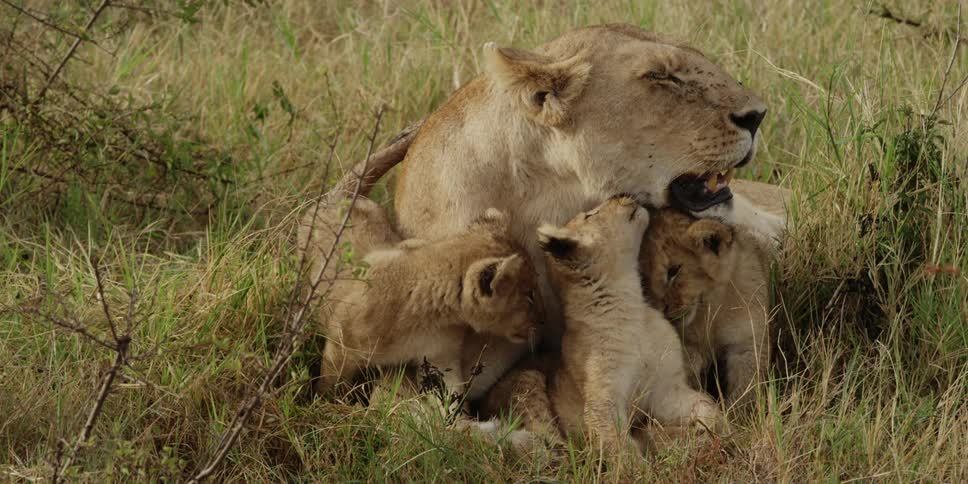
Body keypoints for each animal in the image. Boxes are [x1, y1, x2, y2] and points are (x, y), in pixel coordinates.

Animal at [313, 208, 543, 403]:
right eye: (530, 295)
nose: (543, 320)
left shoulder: (441, 356)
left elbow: (451, 395)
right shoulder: (339, 346)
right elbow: (332, 385)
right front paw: (329, 405)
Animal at [535, 196, 723, 455]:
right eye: (591, 215)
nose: (623, 194)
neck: (631, 305)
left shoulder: (665, 389)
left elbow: (705, 403)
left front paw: (717, 429)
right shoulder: (603, 399)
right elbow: (618, 445)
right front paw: (638, 462)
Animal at [639, 208, 772, 409]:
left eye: (674, 270)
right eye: (644, 280)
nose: (663, 310)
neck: (709, 309)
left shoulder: (747, 341)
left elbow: (746, 385)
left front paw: (737, 414)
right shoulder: (688, 347)